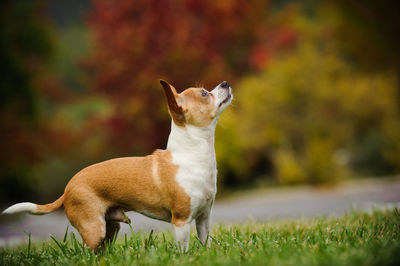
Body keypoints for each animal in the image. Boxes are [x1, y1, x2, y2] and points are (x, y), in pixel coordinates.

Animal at [1, 79, 233, 251]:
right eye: (204, 94)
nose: (225, 83)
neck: (193, 154)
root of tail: (67, 189)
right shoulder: (181, 221)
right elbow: (183, 250)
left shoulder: (203, 219)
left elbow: (205, 242)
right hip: (95, 229)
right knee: (86, 252)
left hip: (110, 229)